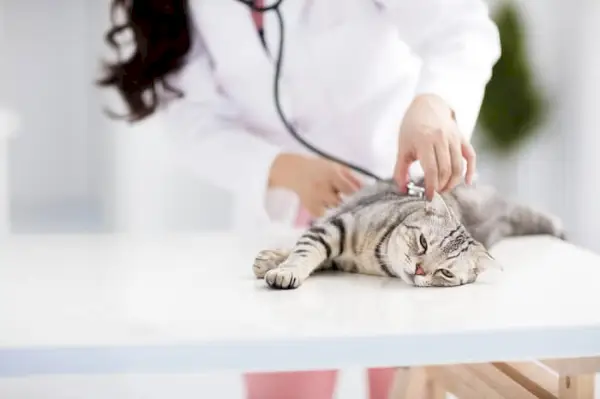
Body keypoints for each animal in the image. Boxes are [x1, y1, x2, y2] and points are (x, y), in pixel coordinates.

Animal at [252, 180, 564, 290]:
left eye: (446, 272)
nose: (419, 270)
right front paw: (284, 269)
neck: (374, 258)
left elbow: (311, 253)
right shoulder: (335, 225)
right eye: (423, 242)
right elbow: (305, 252)